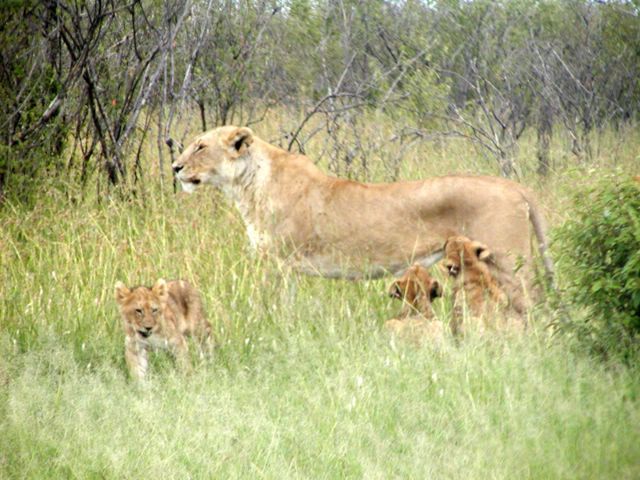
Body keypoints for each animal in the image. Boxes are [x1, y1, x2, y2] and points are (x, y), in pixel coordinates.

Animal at [172, 125, 552, 284]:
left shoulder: (278, 263)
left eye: (201, 146)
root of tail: (516, 186)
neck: (246, 186)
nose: (175, 167)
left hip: (507, 260)